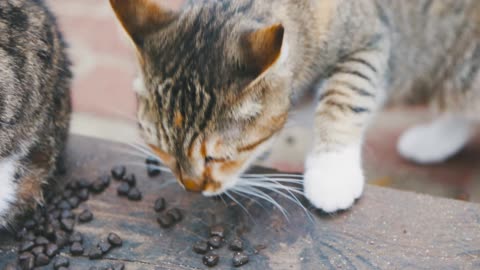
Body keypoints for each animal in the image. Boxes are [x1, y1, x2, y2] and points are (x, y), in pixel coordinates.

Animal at [109, 0, 480, 213]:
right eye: (160, 149)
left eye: (215, 157)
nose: (190, 187)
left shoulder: (370, 40)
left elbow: (345, 97)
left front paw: (332, 172)